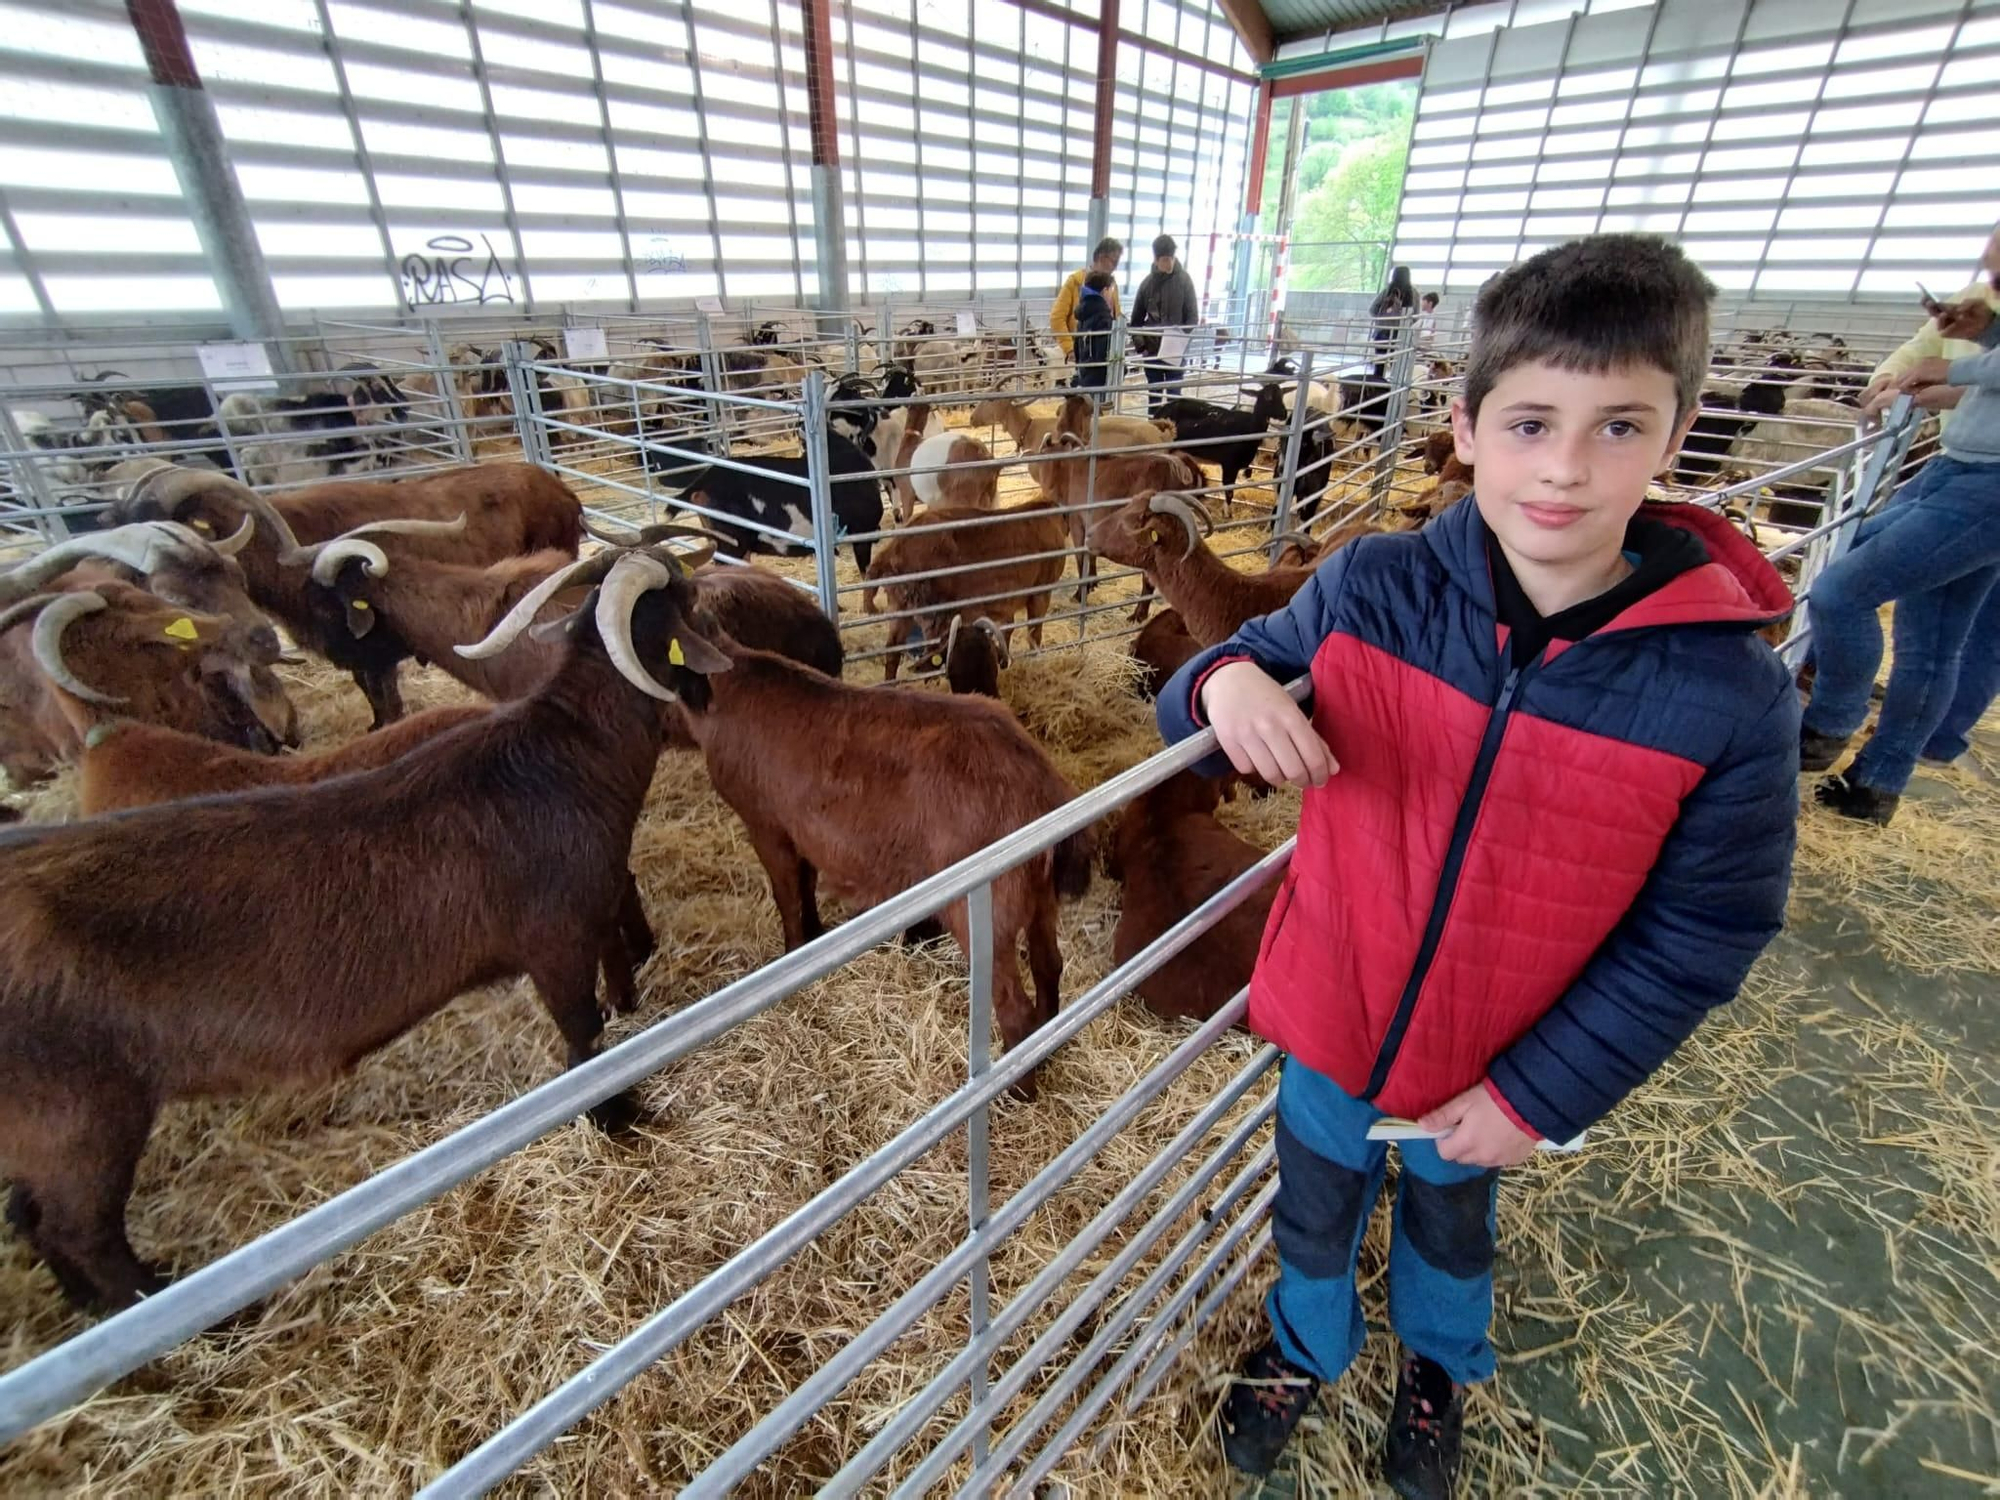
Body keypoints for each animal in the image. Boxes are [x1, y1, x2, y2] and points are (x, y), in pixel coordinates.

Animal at [0, 548, 720, 1312]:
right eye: (686, 604)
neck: (564, 754)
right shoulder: (555, 940)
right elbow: (584, 1040)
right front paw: (618, 1116)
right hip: (78, 1122)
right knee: (83, 1233)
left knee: (31, 1217)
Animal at [680, 640, 1096, 1096]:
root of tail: (1042, 786)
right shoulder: (803, 832)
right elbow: (805, 885)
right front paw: (813, 937)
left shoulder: (767, 824)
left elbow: (787, 894)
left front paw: (791, 955)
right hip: (1041, 898)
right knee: (1049, 966)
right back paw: (1048, 1044)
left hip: (989, 910)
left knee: (1013, 1007)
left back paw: (1015, 1090)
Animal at [864, 496, 1080, 680]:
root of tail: (891, 553)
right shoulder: (1040, 590)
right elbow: (1034, 633)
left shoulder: (1004, 602)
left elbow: (1006, 629)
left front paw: (1004, 662)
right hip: (933, 611)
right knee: (930, 654)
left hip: (900, 608)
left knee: (892, 651)